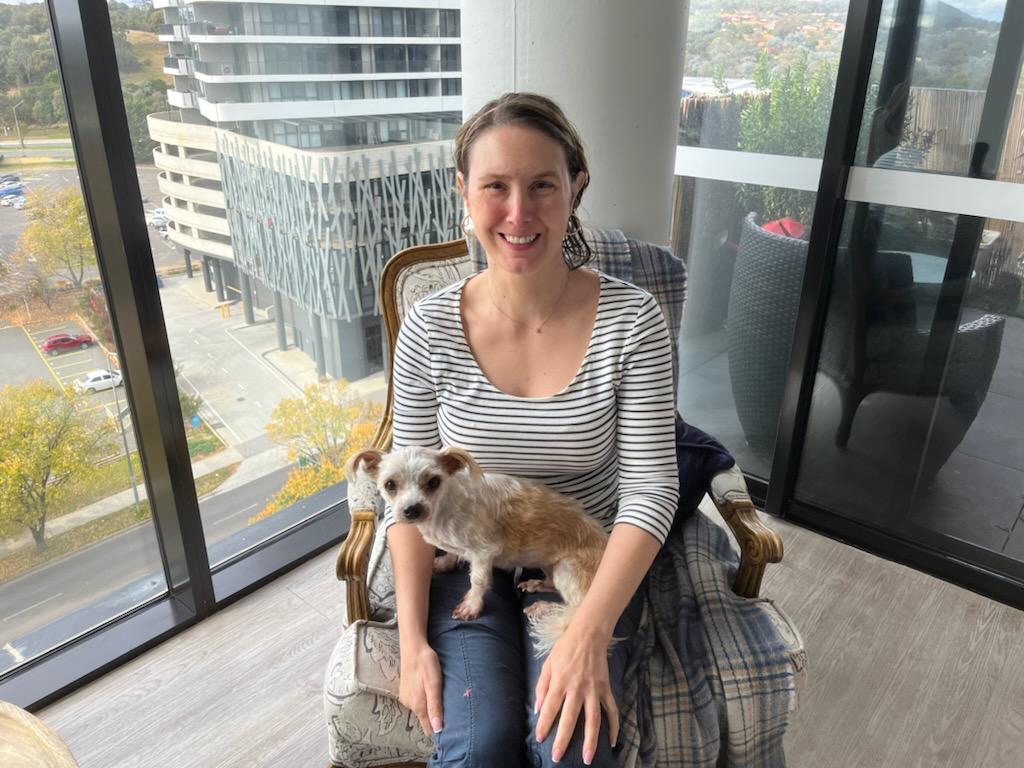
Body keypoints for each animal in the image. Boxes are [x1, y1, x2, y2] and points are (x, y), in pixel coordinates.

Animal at [348, 442, 610, 651]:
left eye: (433, 481)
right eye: (390, 485)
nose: (412, 509)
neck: (443, 510)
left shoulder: (483, 552)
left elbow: (478, 580)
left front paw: (471, 606)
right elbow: (452, 553)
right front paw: (444, 563)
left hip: (569, 568)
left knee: (577, 606)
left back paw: (544, 608)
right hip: (550, 565)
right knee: (555, 586)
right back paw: (537, 584)